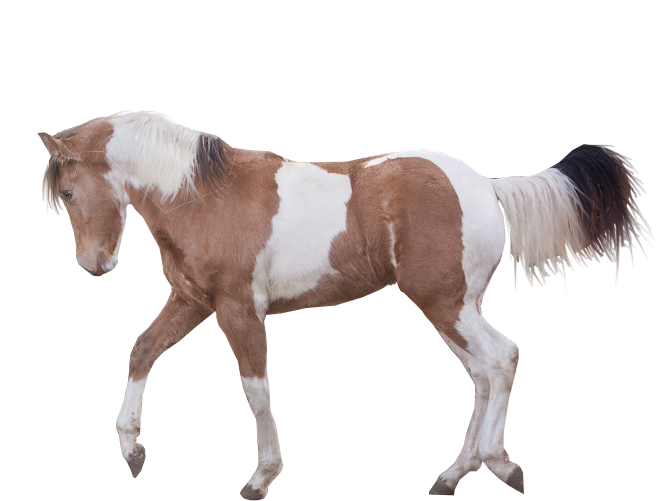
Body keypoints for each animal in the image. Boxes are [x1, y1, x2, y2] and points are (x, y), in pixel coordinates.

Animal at [39, 110, 653, 498]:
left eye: (67, 193)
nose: (95, 265)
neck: (203, 196)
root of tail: (484, 184)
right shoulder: (192, 301)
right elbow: (142, 351)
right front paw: (132, 451)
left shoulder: (239, 310)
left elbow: (256, 390)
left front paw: (261, 478)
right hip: (453, 309)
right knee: (484, 373)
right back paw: (456, 474)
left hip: (446, 304)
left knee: (502, 359)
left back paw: (496, 465)